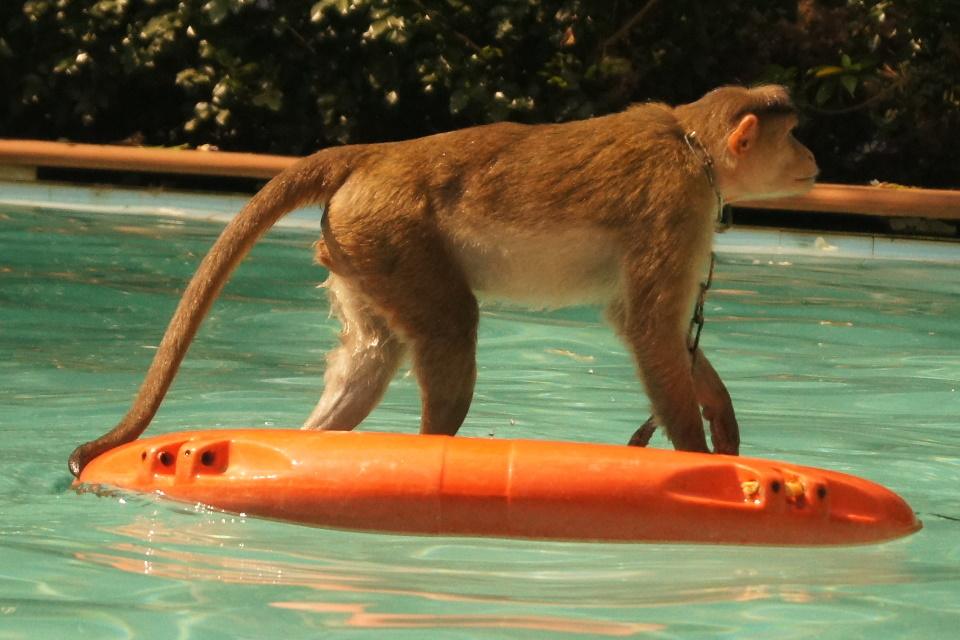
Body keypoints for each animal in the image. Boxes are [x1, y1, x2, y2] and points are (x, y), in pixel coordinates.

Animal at [68, 85, 817, 477]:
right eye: (793, 135)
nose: (813, 154)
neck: (693, 146)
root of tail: (378, 154)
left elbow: (645, 326)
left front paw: (720, 412)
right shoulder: (678, 203)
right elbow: (650, 327)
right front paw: (700, 458)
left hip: (360, 244)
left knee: (374, 353)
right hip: (391, 228)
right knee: (452, 327)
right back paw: (431, 453)